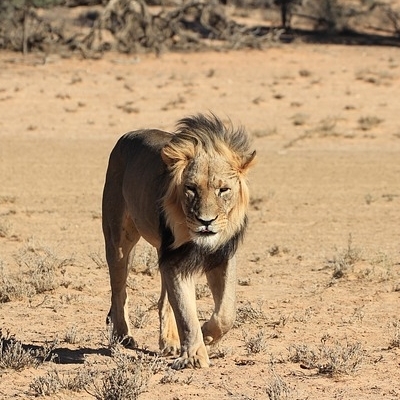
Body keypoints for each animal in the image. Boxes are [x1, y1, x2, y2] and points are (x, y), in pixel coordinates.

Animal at [101, 112, 255, 368]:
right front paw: (194, 356)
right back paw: (123, 335)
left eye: (223, 190)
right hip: (119, 240)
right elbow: (185, 311)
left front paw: (208, 334)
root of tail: (126, 136)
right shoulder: (175, 258)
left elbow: (226, 312)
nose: (206, 221)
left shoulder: (221, 255)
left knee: (164, 300)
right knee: (119, 289)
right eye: (191, 188)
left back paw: (170, 342)